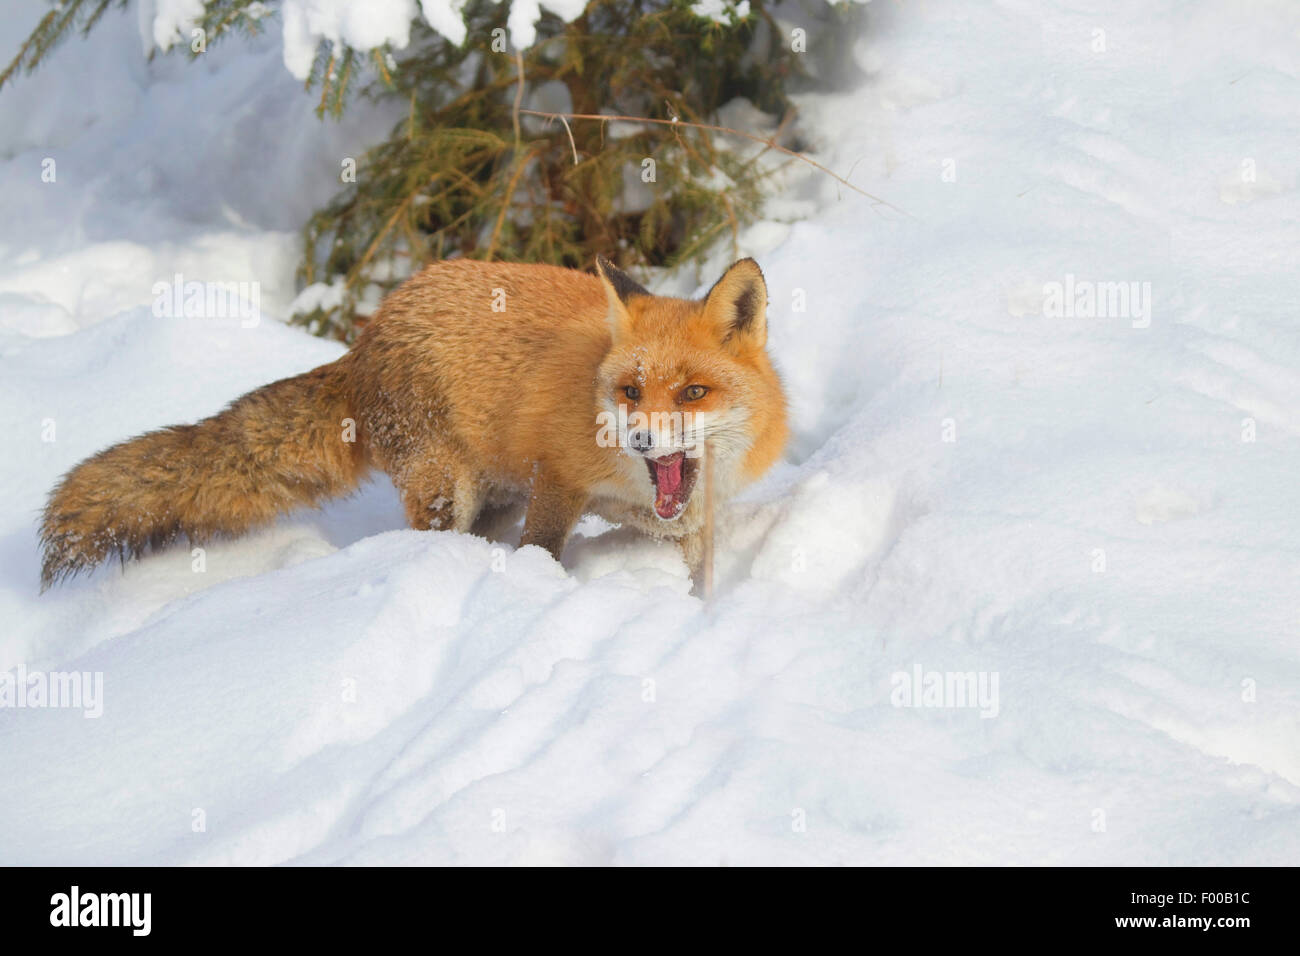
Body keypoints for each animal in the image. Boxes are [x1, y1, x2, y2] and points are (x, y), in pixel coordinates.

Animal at [40, 260, 785, 590]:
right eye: (630, 391)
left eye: (692, 392)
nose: (640, 439)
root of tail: (365, 339)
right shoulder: (556, 481)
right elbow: (543, 551)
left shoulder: (688, 522)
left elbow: (697, 572)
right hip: (446, 492)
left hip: (490, 498)